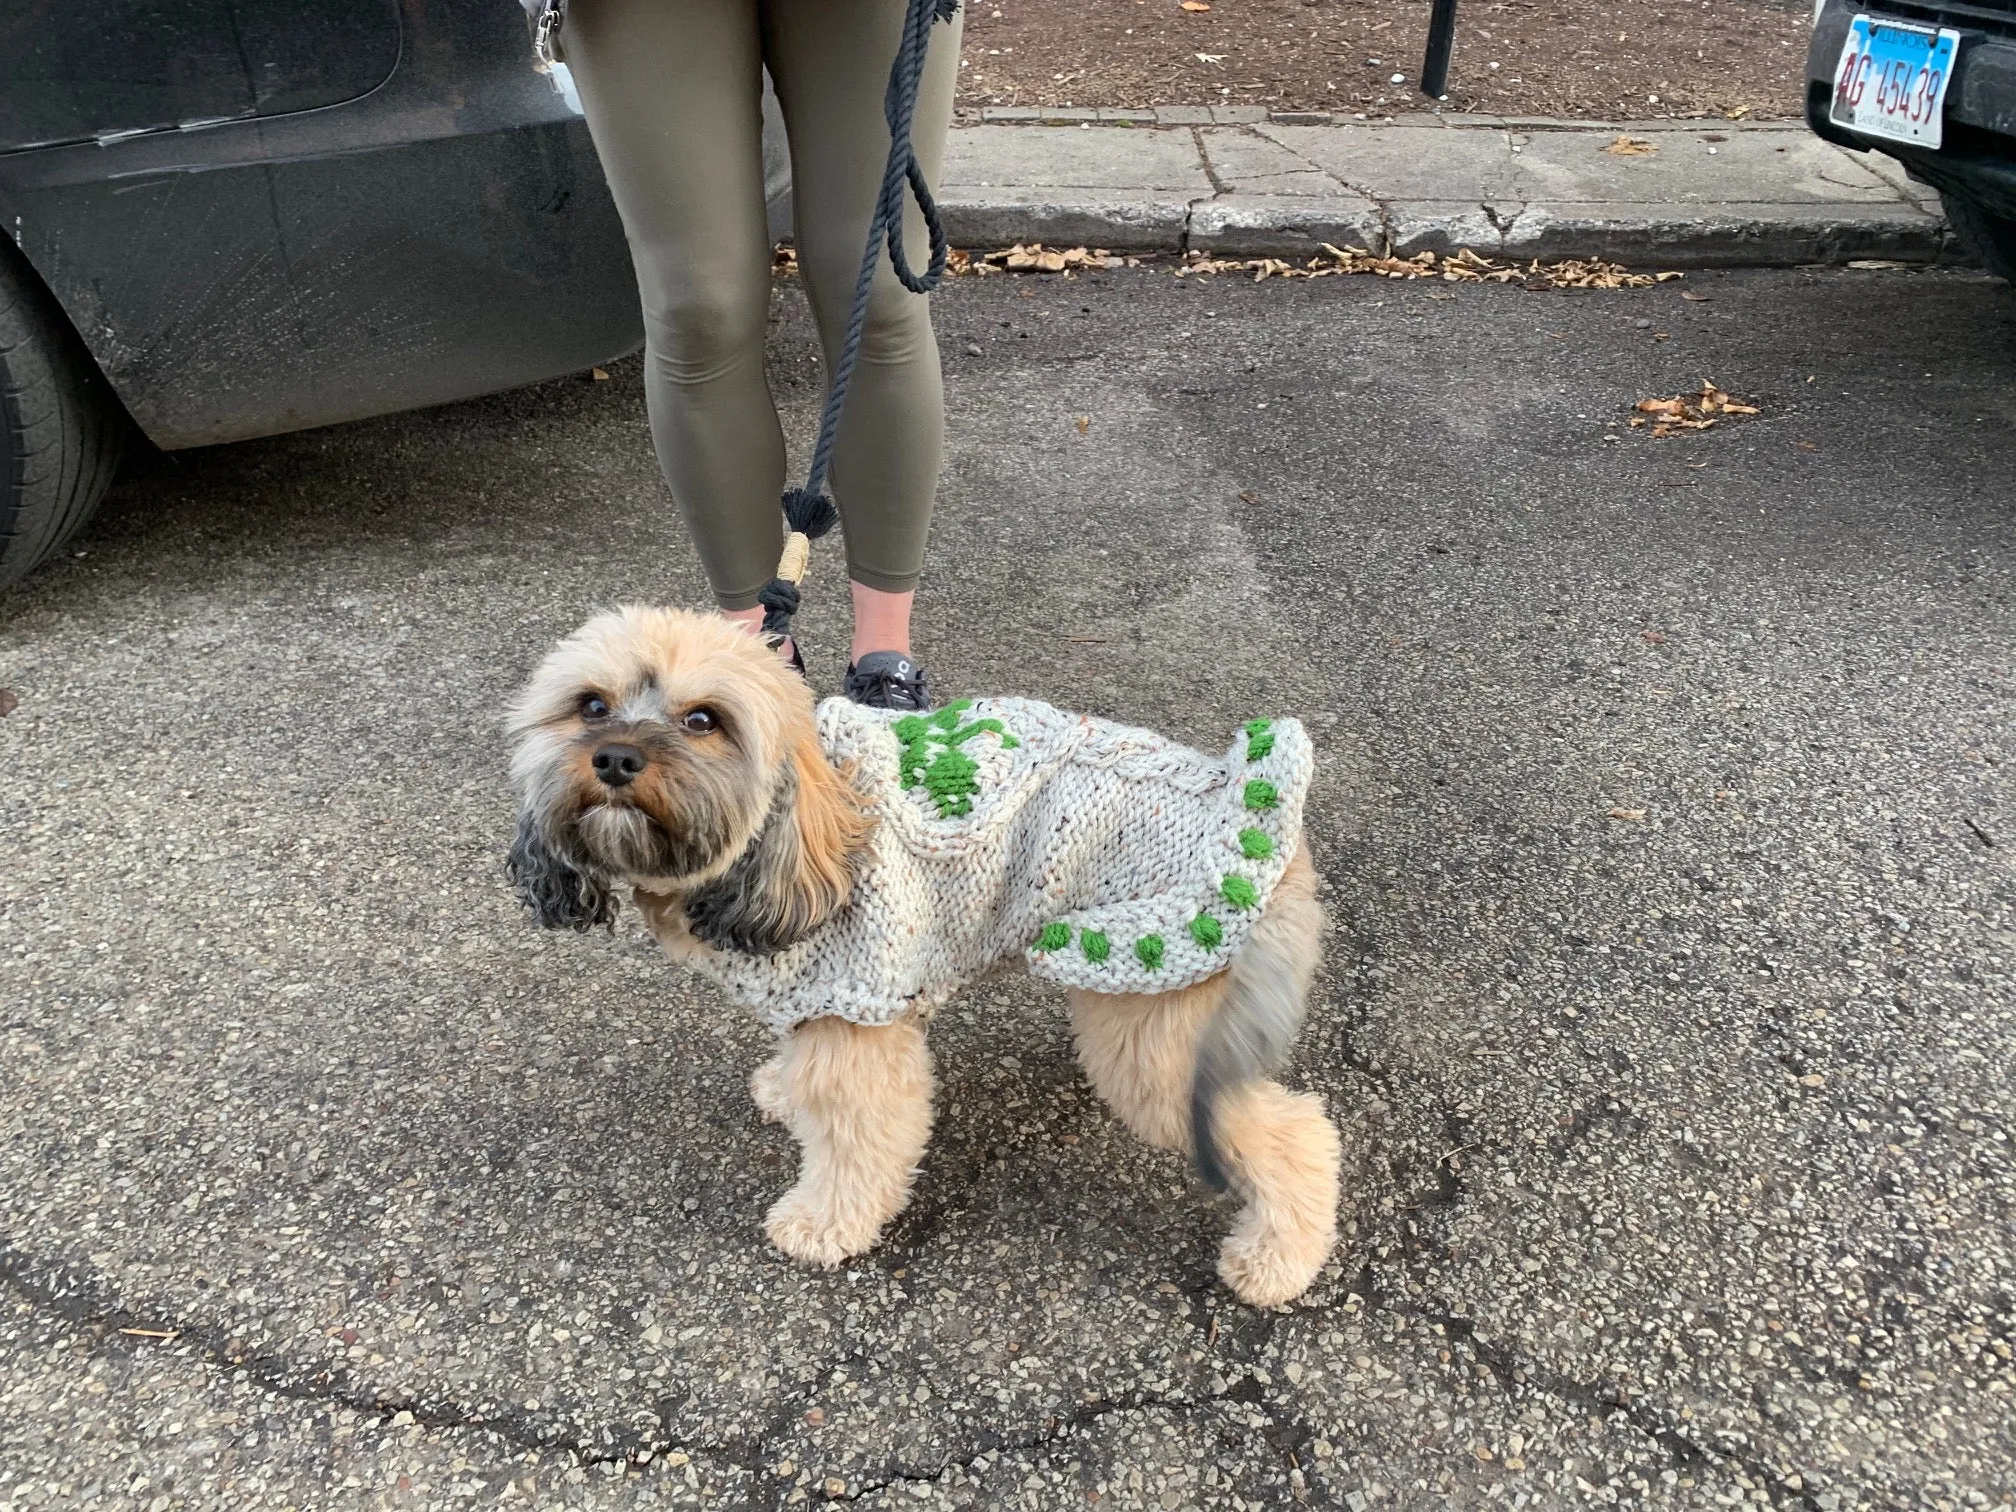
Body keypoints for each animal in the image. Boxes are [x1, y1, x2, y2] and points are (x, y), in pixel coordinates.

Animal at [512, 608, 1346, 1306]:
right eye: (591, 705)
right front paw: (783, 1089)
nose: (615, 759)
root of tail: (1253, 806)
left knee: (1300, 1135)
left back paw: (1278, 1263)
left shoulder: (858, 1024)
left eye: (703, 720)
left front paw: (822, 1225)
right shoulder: (816, 997)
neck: (801, 831)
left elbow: (858, 1146)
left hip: (1157, 1027)